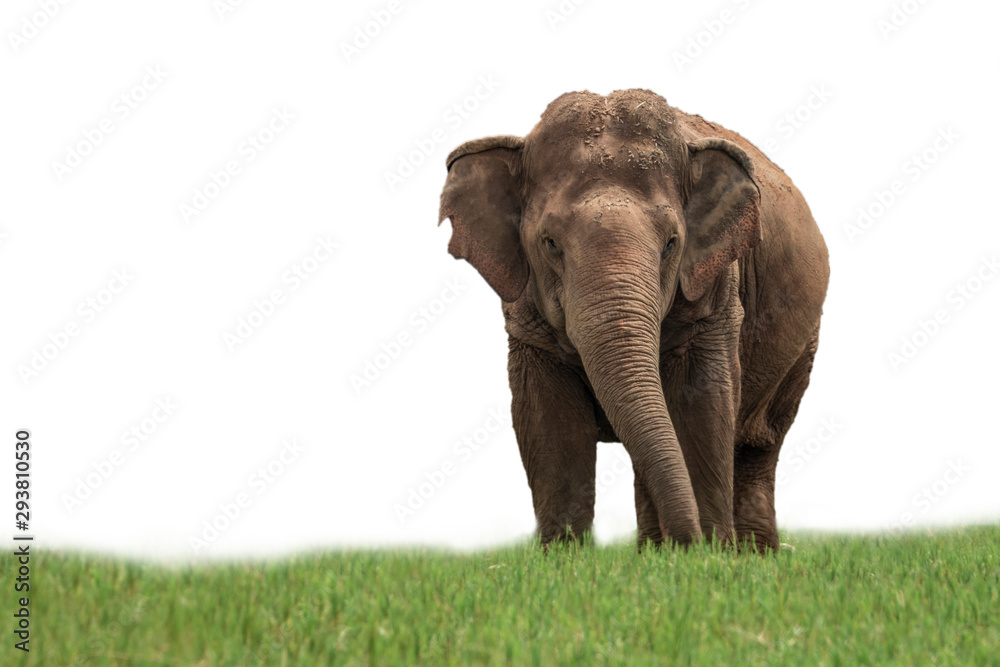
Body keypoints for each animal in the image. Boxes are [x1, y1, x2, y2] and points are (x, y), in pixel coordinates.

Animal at [437, 89, 829, 552]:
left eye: (671, 243)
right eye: (549, 243)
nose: (692, 541)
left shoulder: (714, 288)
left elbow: (702, 403)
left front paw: (705, 557)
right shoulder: (525, 312)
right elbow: (547, 417)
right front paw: (564, 556)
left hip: (804, 344)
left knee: (760, 445)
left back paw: (751, 556)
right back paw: (657, 553)